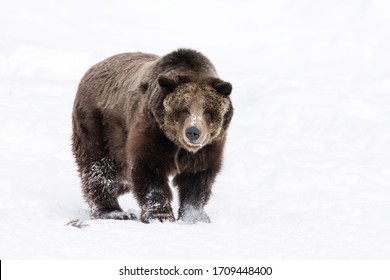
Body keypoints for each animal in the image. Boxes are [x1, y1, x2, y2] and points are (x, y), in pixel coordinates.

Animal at [71, 48, 233, 223]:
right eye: (183, 110)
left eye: (208, 111)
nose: (193, 132)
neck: (177, 144)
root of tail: (91, 70)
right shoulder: (153, 131)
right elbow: (149, 170)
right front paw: (160, 216)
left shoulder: (208, 146)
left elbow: (197, 177)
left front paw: (194, 217)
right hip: (99, 125)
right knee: (99, 167)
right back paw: (113, 212)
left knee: (120, 178)